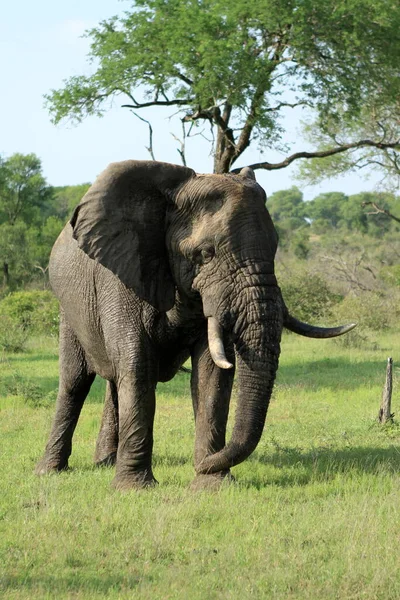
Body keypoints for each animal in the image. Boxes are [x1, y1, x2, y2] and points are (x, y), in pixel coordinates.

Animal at [35, 162, 354, 490]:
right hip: (68, 309)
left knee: (112, 380)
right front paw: (134, 489)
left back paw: (105, 463)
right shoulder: (122, 274)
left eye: (275, 248)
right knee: (75, 381)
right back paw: (50, 471)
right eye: (205, 254)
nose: (201, 464)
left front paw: (212, 484)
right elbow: (138, 364)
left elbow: (212, 371)